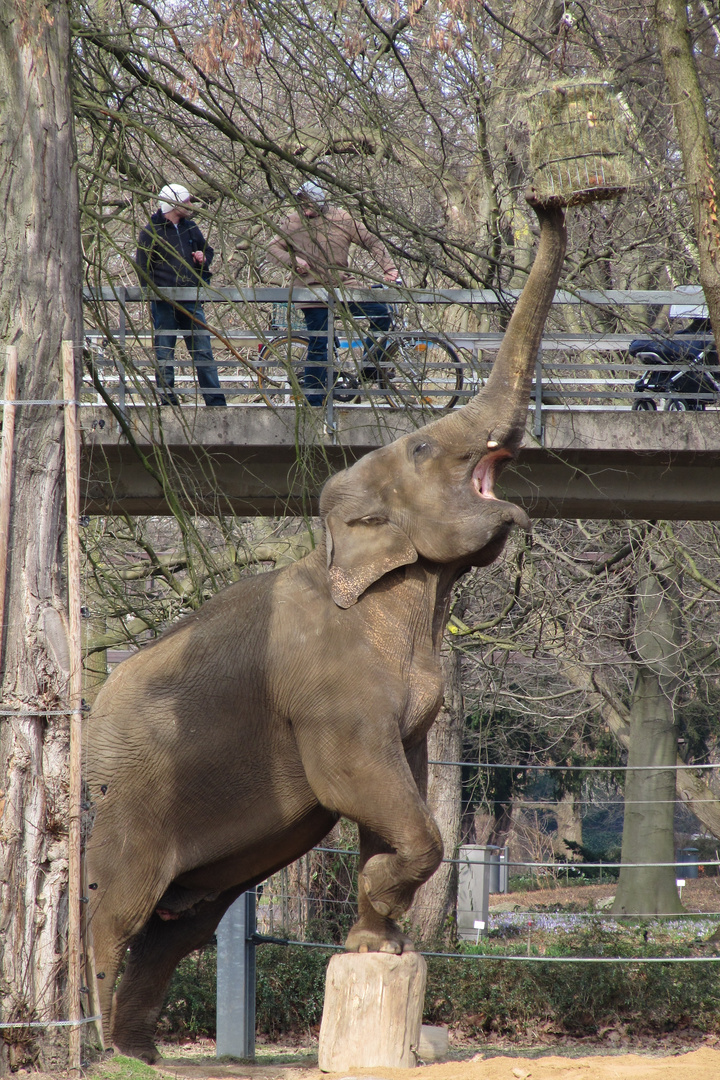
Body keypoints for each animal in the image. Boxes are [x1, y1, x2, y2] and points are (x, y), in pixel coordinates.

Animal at [84, 198, 569, 1058]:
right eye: (423, 444)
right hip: (127, 800)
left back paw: (144, 1055)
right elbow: (362, 780)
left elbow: (402, 778)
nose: (551, 200)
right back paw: (110, 1054)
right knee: (118, 909)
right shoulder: (327, 685)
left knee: (180, 924)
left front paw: (378, 944)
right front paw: (378, 910)